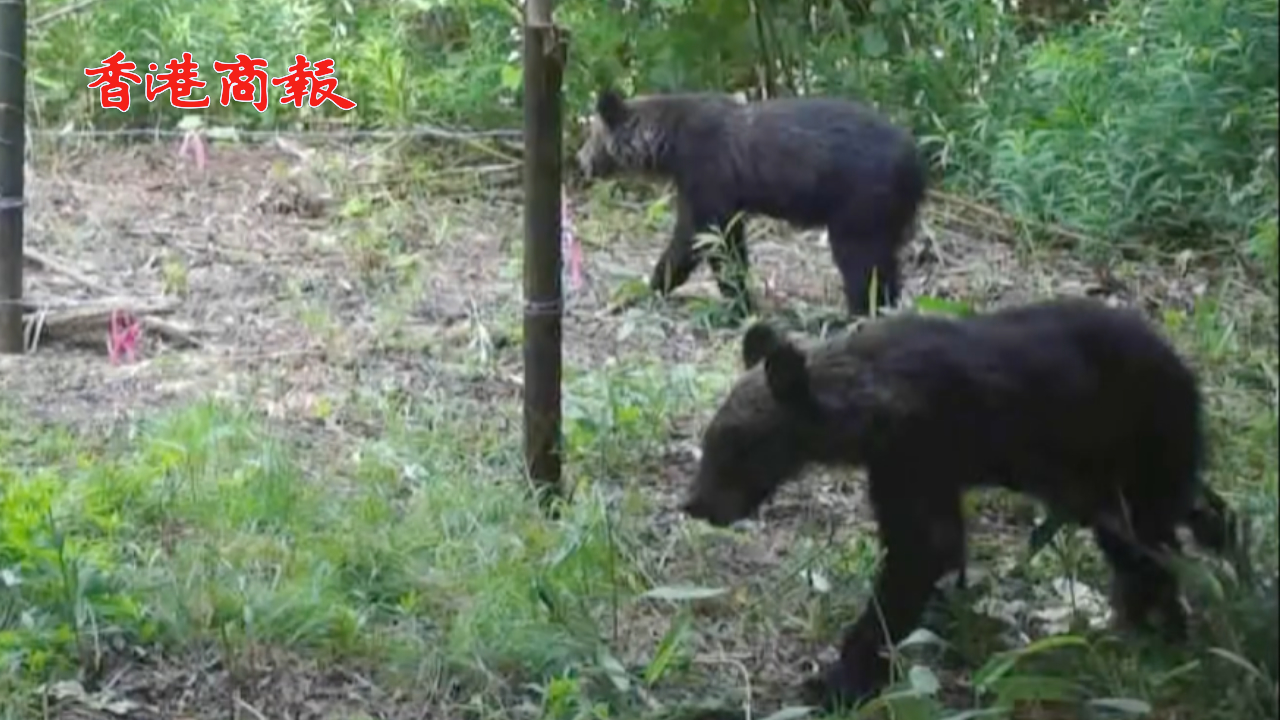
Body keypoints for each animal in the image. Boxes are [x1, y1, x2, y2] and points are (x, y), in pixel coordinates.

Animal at [576, 86, 926, 313]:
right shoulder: (712, 197)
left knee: (862, 268)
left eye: (591, 135)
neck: (669, 144)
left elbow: (709, 245)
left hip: (859, 207)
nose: (581, 160)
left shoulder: (708, 182)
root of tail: (915, 161)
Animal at [680, 295, 1239, 707]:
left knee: (1156, 548)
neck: (868, 409)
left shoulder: (917, 455)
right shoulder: (911, 470)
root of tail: (1185, 373)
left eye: (737, 444)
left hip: (1142, 460)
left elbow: (920, 555)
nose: (696, 503)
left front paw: (844, 678)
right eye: (712, 438)